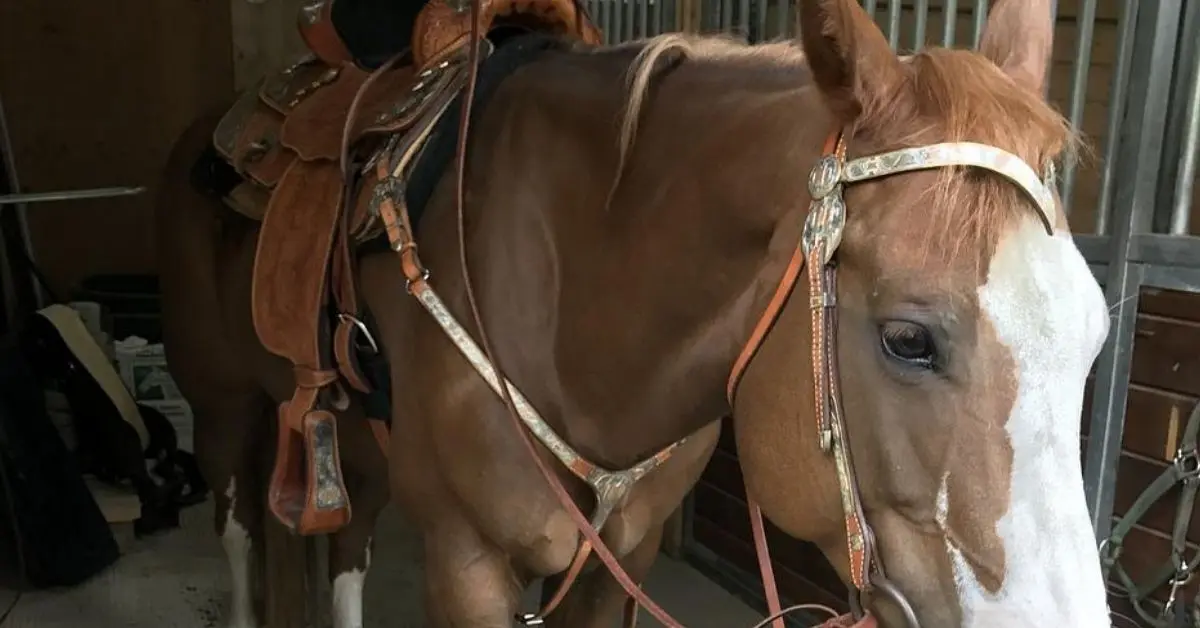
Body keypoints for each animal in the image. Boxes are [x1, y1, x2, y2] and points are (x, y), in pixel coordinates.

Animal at [154, 0, 1113, 626]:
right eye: (908, 339)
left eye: (1096, 337)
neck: (568, 311)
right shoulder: (468, 564)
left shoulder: (624, 556)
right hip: (223, 407)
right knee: (238, 528)